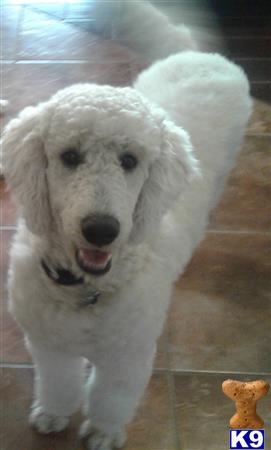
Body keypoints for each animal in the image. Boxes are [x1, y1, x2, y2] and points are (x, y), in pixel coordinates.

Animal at [2, 1, 253, 448]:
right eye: (69, 156)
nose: (101, 230)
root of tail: (199, 53)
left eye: (130, 161)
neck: (86, 291)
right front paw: (52, 413)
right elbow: (58, 381)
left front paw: (103, 432)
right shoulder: (49, 345)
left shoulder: (128, 354)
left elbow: (111, 395)